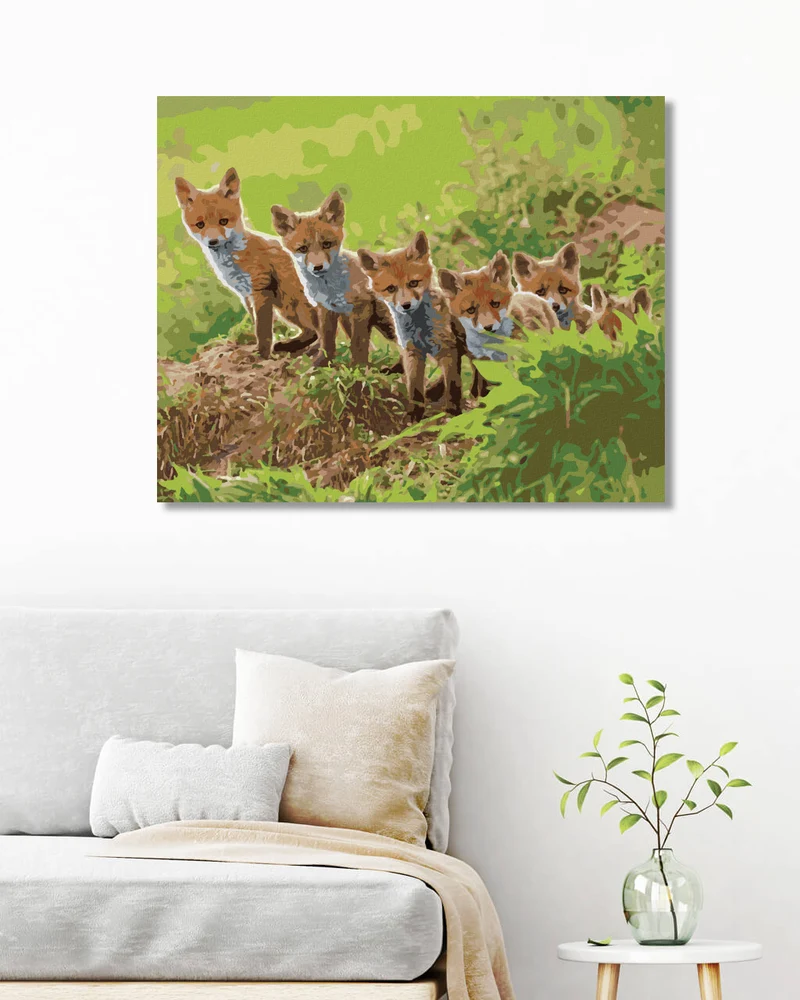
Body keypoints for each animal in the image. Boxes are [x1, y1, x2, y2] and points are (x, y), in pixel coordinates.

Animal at [174, 168, 319, 360]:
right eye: (200, 224)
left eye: (223, 221)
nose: (213, 241)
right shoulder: (246, 295)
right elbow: (257, 324)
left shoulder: (260, 287)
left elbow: (262, 330)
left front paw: (262, 356)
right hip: (286, 307)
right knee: (311, 331)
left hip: (292, 302)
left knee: (319, 332)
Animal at [270, 191, 395, 368]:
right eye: (303, 249)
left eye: (327, 244)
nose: (318, 267)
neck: (330, 288)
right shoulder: (327, 309)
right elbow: (327, 343)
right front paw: (319, 365)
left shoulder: (361, 307)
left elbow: (358, 344)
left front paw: (358, 369)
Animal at [357, 232, 461, 420]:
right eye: (391, 288)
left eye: (413, 283)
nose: (406, 305)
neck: (419, 326)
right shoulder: (412, 350)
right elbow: (414, 387)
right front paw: (415, 413)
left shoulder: (445, 346)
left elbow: (452, 382)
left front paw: (453, 409)